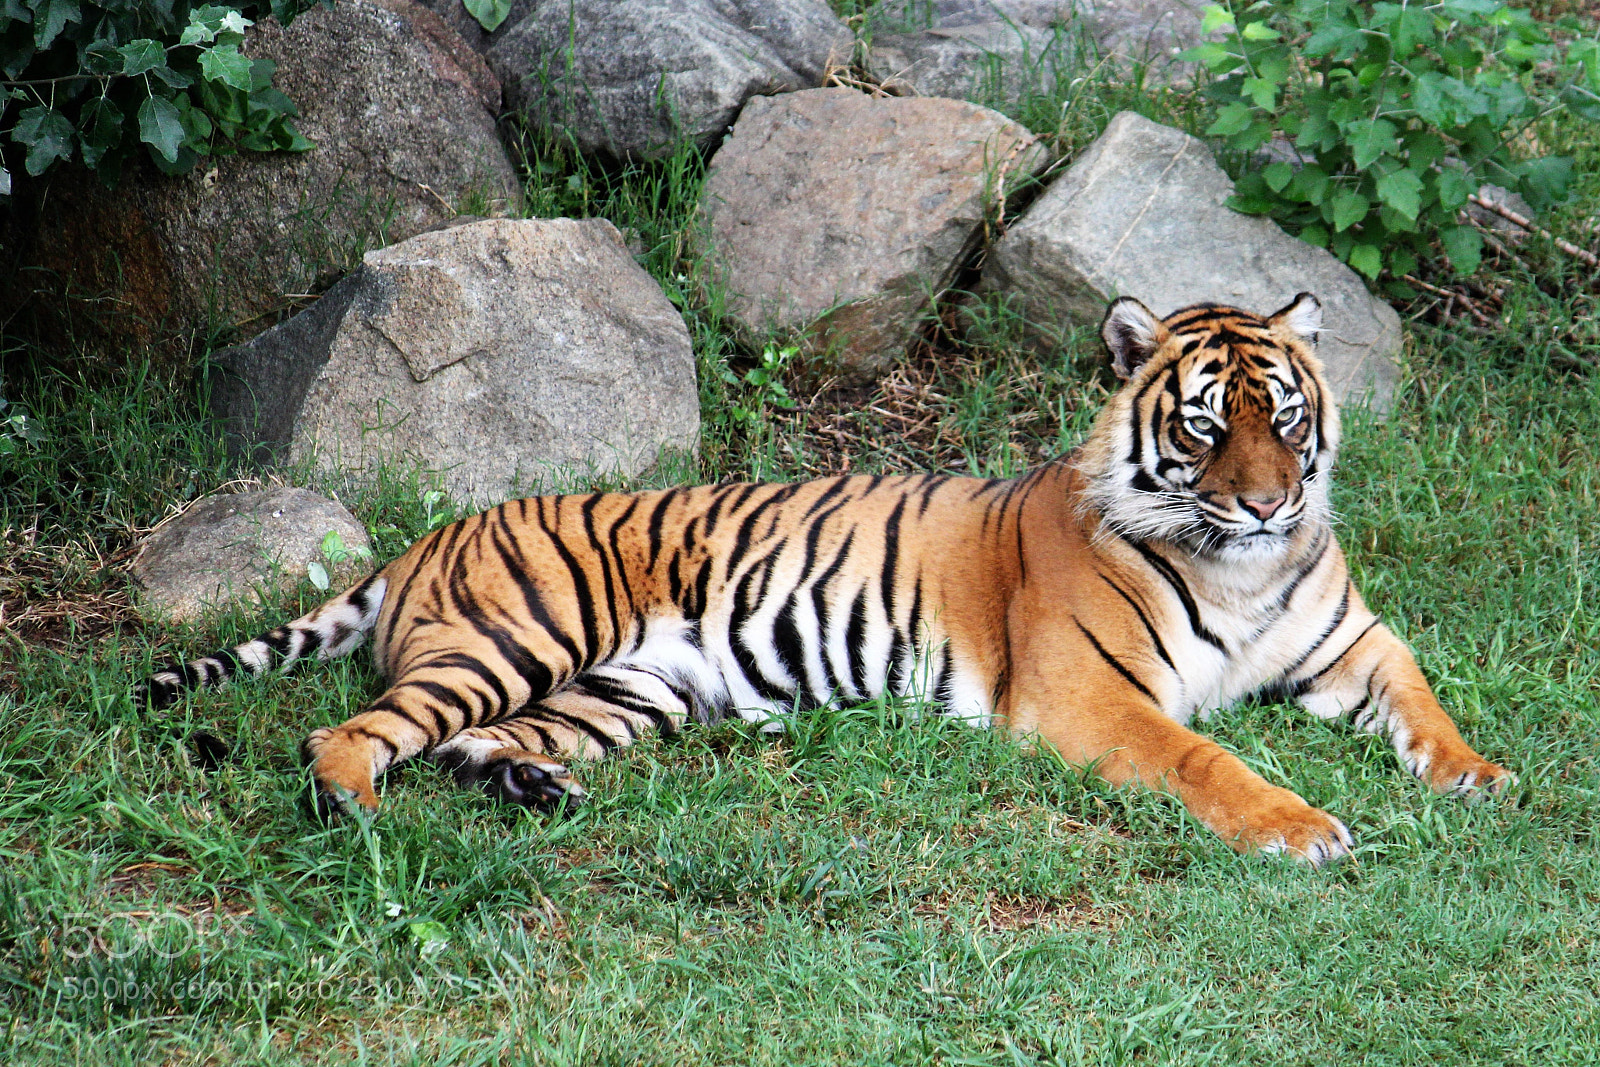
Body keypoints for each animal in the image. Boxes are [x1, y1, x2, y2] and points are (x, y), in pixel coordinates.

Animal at [140, 293, 1513, 864]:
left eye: (1285, 416)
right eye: (1203, 425)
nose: (1272, 500)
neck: (1243, 569)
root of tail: (424, 538)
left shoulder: (1349, 642)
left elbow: (1423, 694)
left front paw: (1480, 777)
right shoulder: (1089, 696)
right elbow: (1206, 757)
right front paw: (1302, 827)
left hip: (630, 689)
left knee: (481, 745)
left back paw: (535, 790)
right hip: (510, 640)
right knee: (353, 730)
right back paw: (356, 814)